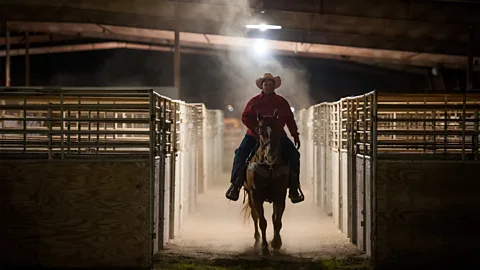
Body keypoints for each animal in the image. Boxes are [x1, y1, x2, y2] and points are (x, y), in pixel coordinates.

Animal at [240, 109, 288, 255]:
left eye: (277, 129)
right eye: (260, 131)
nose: (271, 155)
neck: (269, 166)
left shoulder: (280, 195)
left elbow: (277, 221)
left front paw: (276, 243)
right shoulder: (256, 196)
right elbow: (262, 222)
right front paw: (265, 247)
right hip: (250, 196)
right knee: (255, 217)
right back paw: (257, 241)